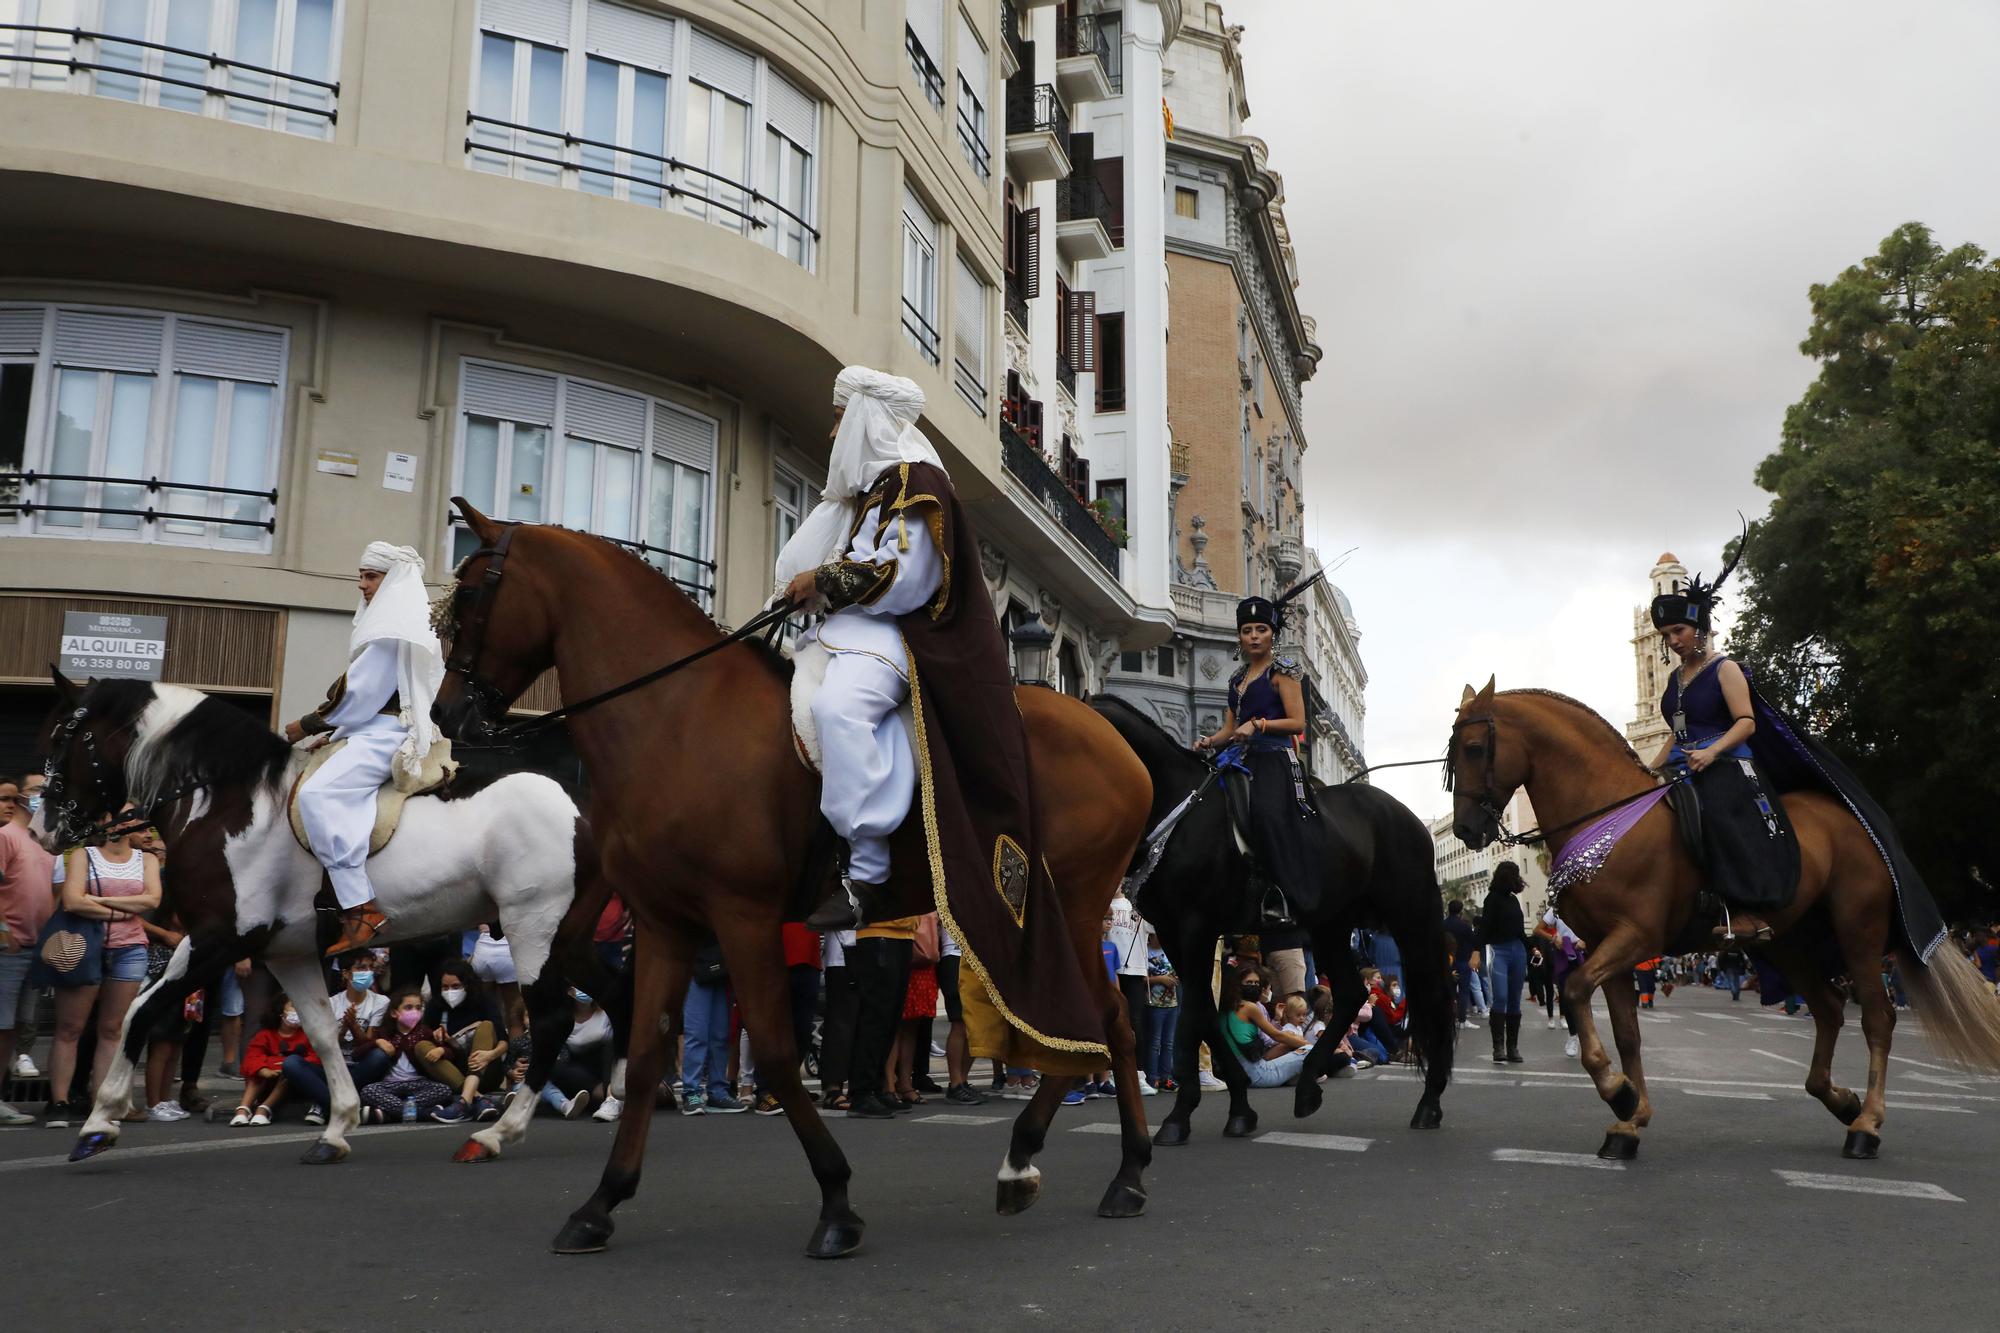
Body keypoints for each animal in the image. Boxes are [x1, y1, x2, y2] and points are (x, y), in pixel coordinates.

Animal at [31, 676, 608, 1160]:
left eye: (62, 737)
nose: (42, 831)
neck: (228, 803)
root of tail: (583, 806)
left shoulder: (221, 939)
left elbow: (141, 1012)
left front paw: (98, 1125)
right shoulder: (280, 951)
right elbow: (323, 1032)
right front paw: (337, 1127)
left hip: (532, 929)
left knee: (553, 1020)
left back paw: (496, 1134)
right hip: (571, 939)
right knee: (618, 1000)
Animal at [434, 496, 1160, 1256]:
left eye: (473, 594)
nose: (444, 711)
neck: (678, 714)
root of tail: (1110, 733)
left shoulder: (743, 915)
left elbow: (781, 1054)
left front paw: (837, 1203)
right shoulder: (666, 921)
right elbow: (648, 1050)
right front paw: (601, 1202)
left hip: (1067, 907)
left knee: (1103, 1021)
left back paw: (1096, 1168)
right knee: (1104, 1021)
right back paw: (1062, 1164)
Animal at [1096, 688, 1456, 1136]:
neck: (1178, 808)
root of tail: (1408, 817)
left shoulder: (1194, 927)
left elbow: (1193, 1015)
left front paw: (1180, 1117)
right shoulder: (1175, 932)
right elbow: (1208, 1014)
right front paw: (1238, 1108)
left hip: (1411, 917)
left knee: (1435, 996)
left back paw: (1429, 1103)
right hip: (1332, 924)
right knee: (1352, 993)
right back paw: (1308, 1088)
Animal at [1448, 680, 2000, 1160]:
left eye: (1473, 748)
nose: (1468, 831)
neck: (1607, 817)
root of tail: (1857, 824)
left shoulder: (1635, 937)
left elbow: (1577, 989)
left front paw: (1619, 1093)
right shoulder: (1609, 946)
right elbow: (1625, 1031)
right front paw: (1630, 1118)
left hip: (1858, 931)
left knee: (1877, 1018)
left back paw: (1866, 1125)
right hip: (1786, 943)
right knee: (1827, 1008)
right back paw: (1840, 1099)